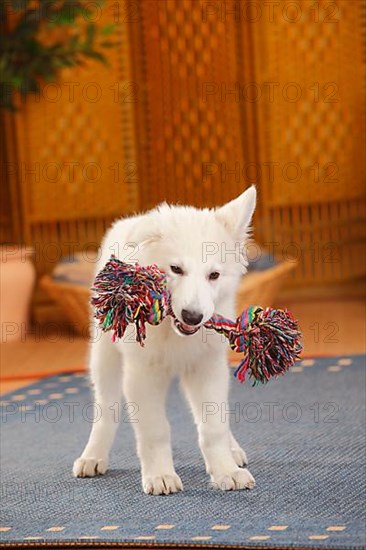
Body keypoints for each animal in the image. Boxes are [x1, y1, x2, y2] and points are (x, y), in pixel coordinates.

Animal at [73, 185, 256, 496]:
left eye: (214, 275)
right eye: (176, 269)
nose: (193, 316)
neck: (173, 332)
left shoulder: (207, 366)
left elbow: (213, 426)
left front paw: (226, 470)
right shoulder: (142, 375)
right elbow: (155, 430)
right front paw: (160, 475)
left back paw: (233, 451)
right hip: (105, 354)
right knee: (106, 408)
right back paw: (93, 455)